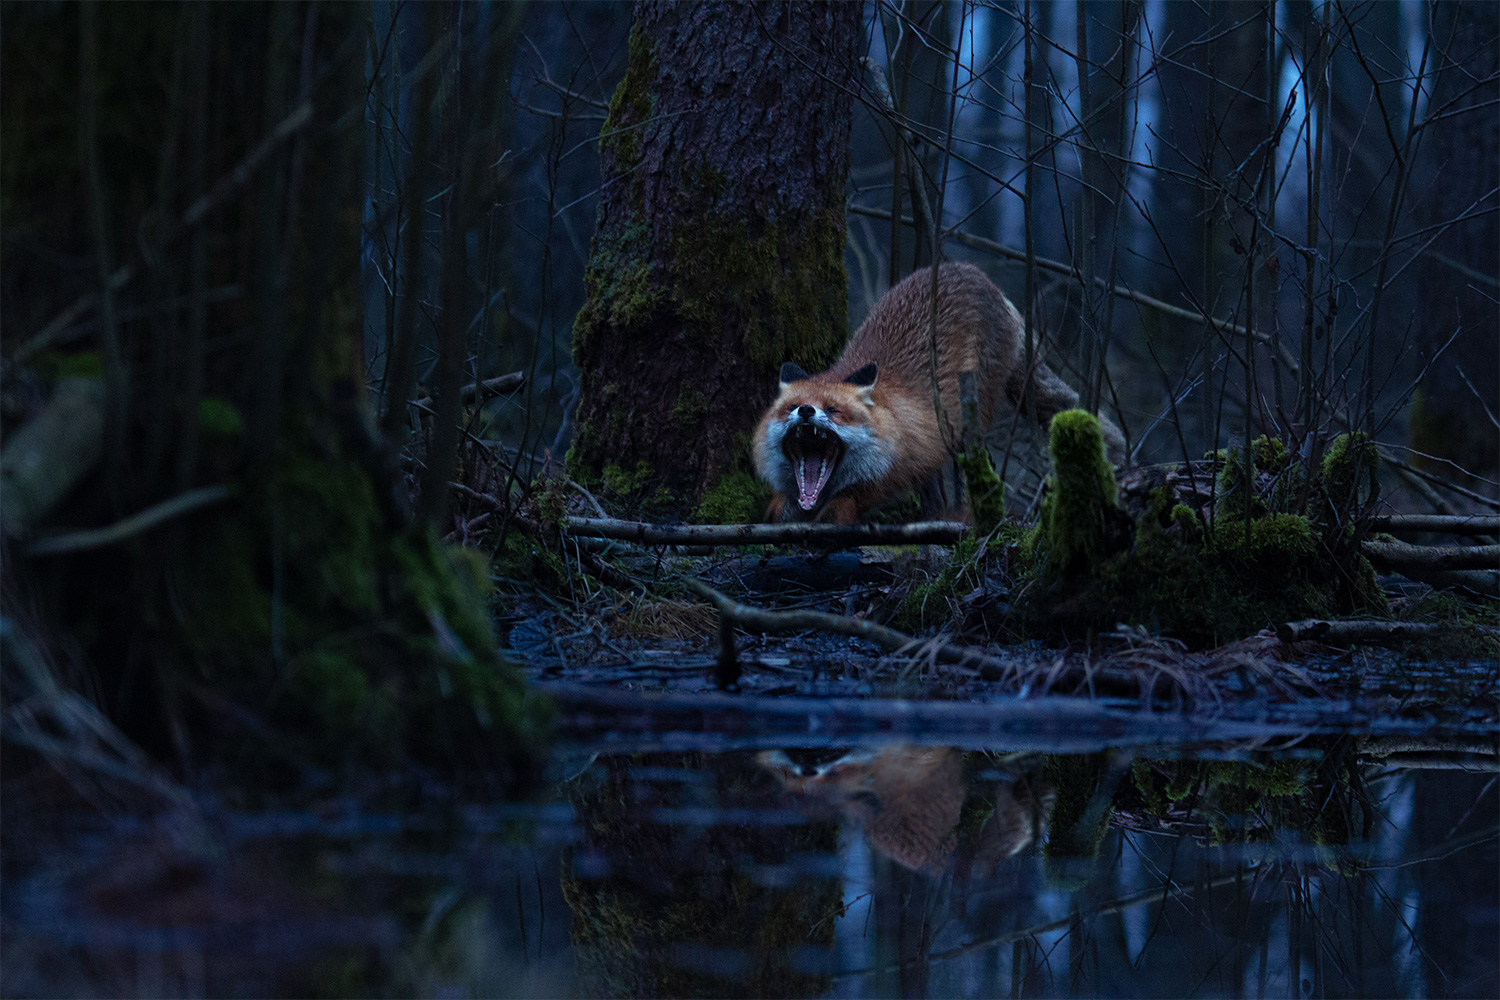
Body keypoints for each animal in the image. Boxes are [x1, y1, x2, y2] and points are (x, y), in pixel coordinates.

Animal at [754, 262, 1126, 525]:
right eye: (792, 407)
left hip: (970, 414)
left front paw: (835, 514)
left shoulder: (901, 463)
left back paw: (964, 516)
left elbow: (856, 497)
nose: (806, 412)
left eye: (833, 410)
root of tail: (981, 278)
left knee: (973, 467)